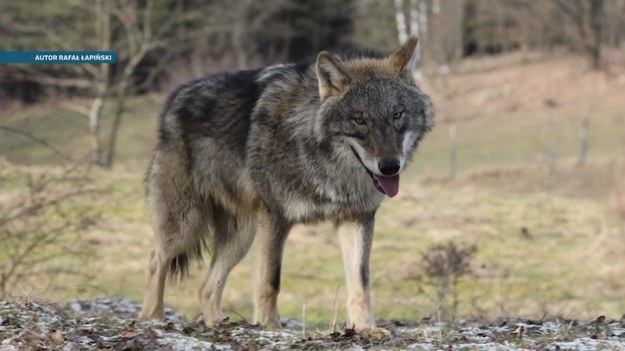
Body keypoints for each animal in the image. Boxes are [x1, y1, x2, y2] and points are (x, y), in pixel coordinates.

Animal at [138, 36, 432, 336]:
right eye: (360, 119)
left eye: (396, 115)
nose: (390, 166)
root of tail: (176, 96)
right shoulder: (275, 216)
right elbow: (270, 279)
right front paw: (269, 326)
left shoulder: (357, 217)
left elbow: (360, 281)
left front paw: (365, 329)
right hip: (186, 225)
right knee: (155, 260)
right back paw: (153, 318)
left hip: (241, 237)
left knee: (206, 288)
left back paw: (217, 326)